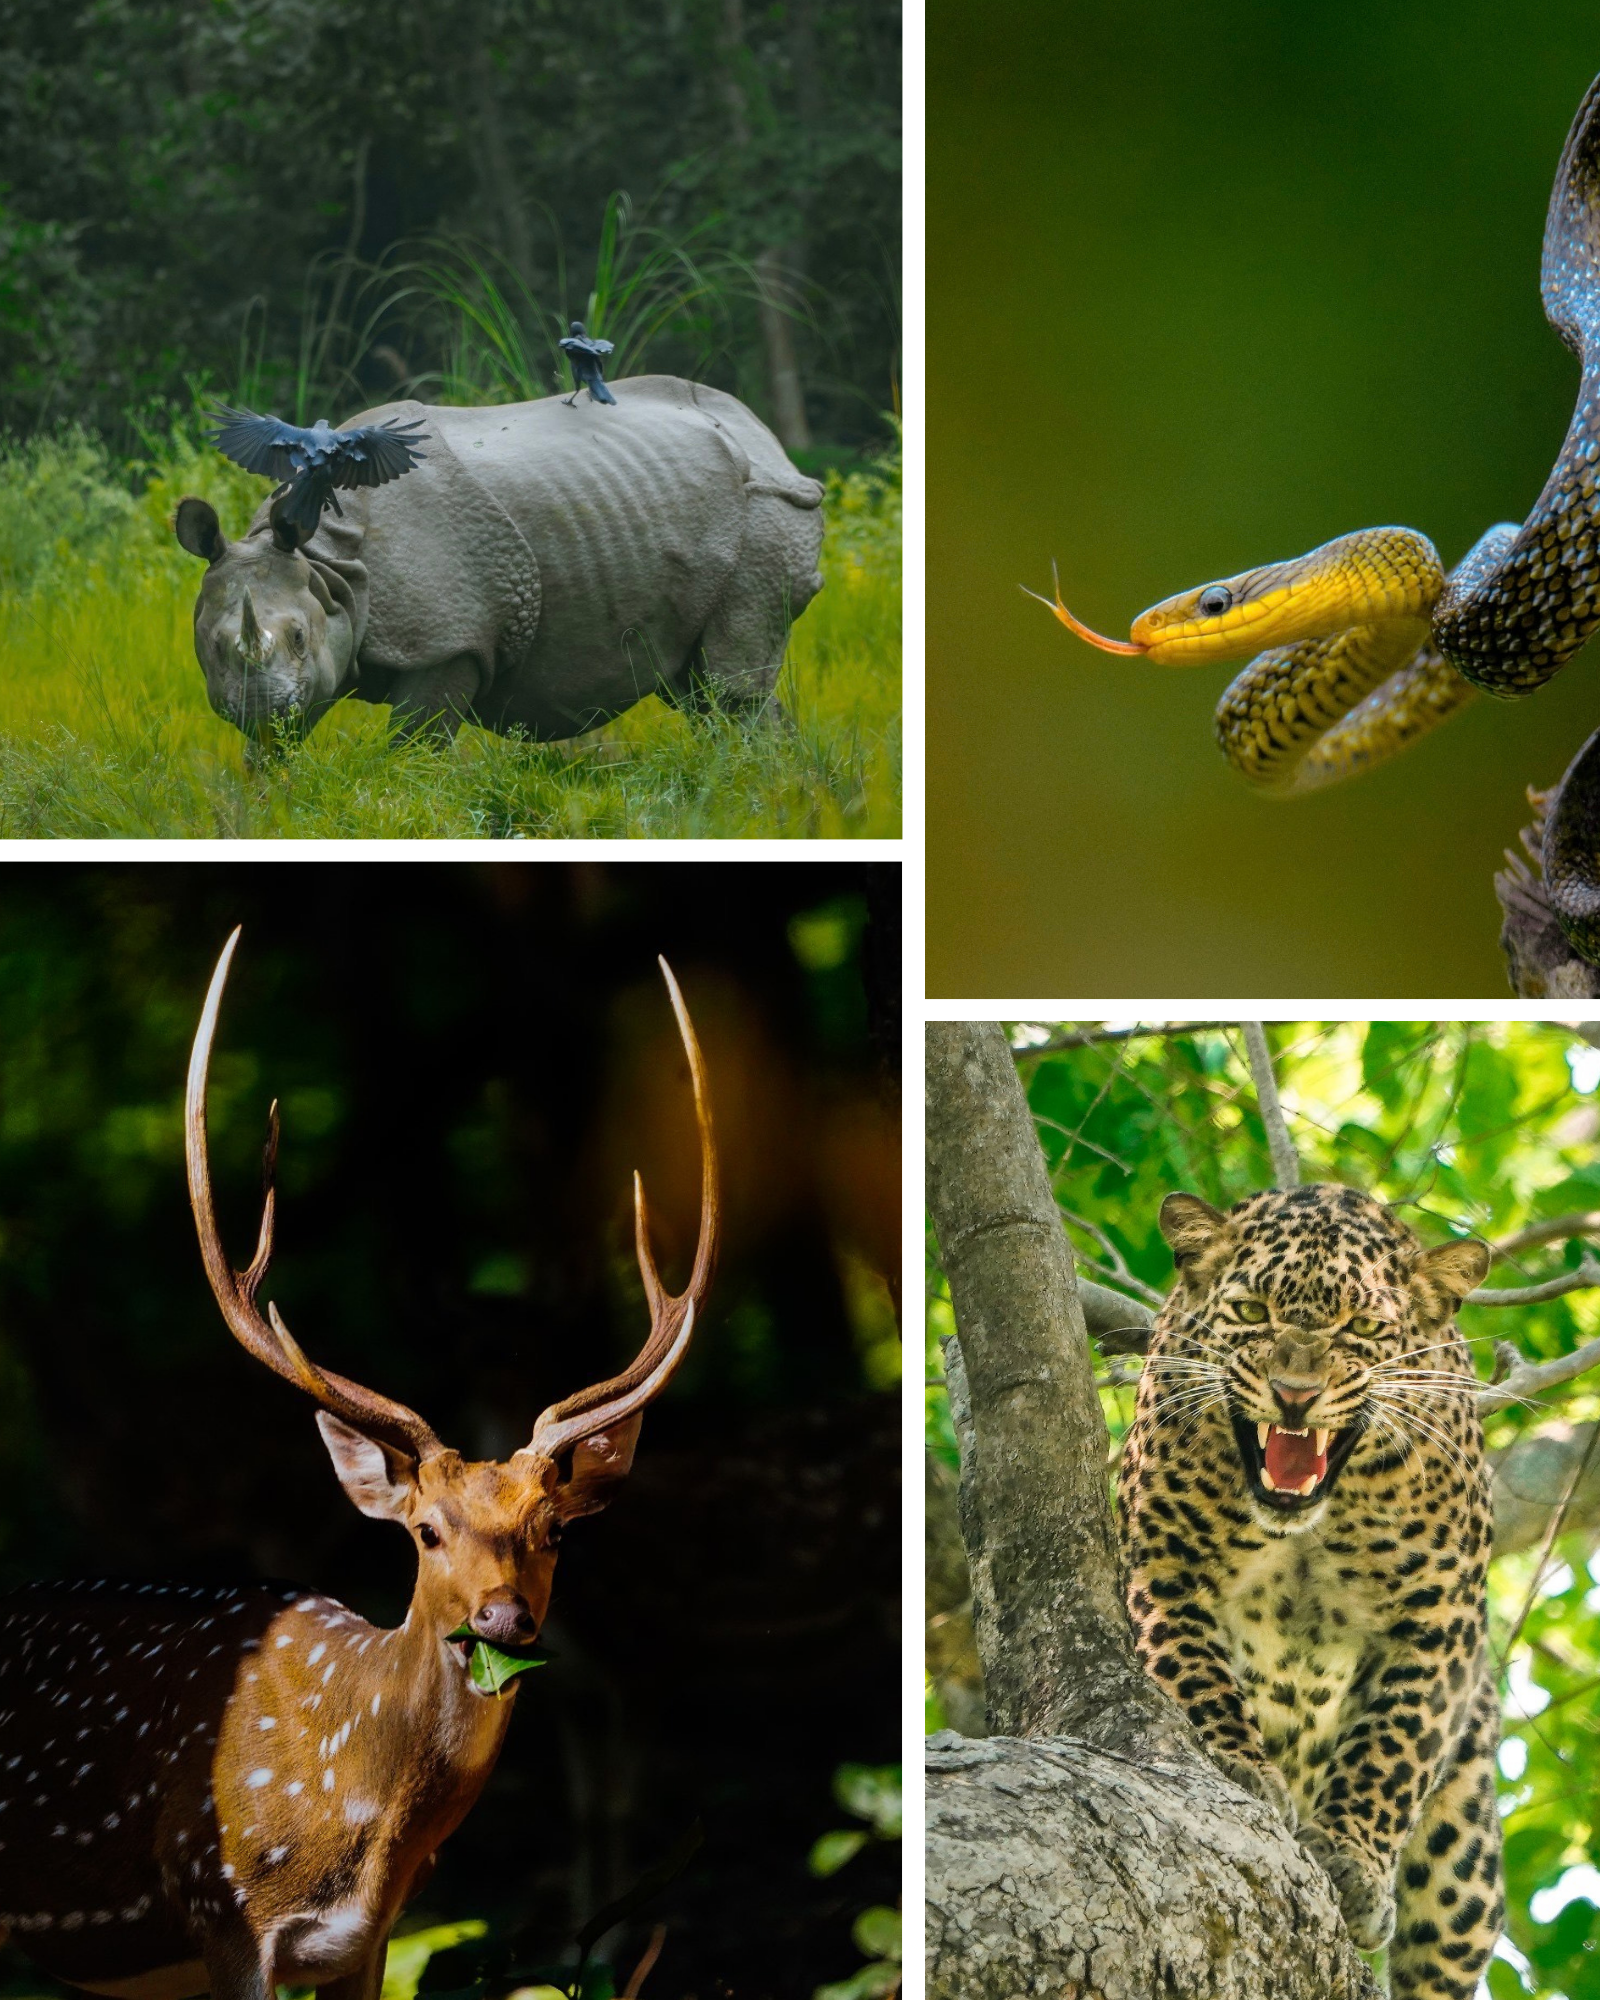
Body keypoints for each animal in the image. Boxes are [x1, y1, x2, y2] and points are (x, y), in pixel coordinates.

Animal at [0, 928, 717, 2000]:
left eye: (554, 1530)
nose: (502, 1618)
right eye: (425, 1530)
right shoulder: (222, 1906)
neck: (361, 1827)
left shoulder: (368, 1941)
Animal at [174, 375, 826, 747]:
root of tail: (765, 437)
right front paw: (269, 796)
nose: (258, 708)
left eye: (299, 637)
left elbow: (414, 746)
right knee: (702, 690)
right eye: (210, 647)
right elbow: (273, 752)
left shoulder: (450, 641)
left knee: (730, 686)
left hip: (767, 508)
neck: (330, 565)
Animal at [1115, 1180, 1502, 1998]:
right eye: (1251, 1311)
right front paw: (1238, 1764)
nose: (1294, 1395)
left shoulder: (1439, 1619)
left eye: (1363, 1327)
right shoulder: (1163, 1565)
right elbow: (1192, 1670)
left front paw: (1353, 1858)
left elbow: (1395, 1746)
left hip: (1464, 1855)